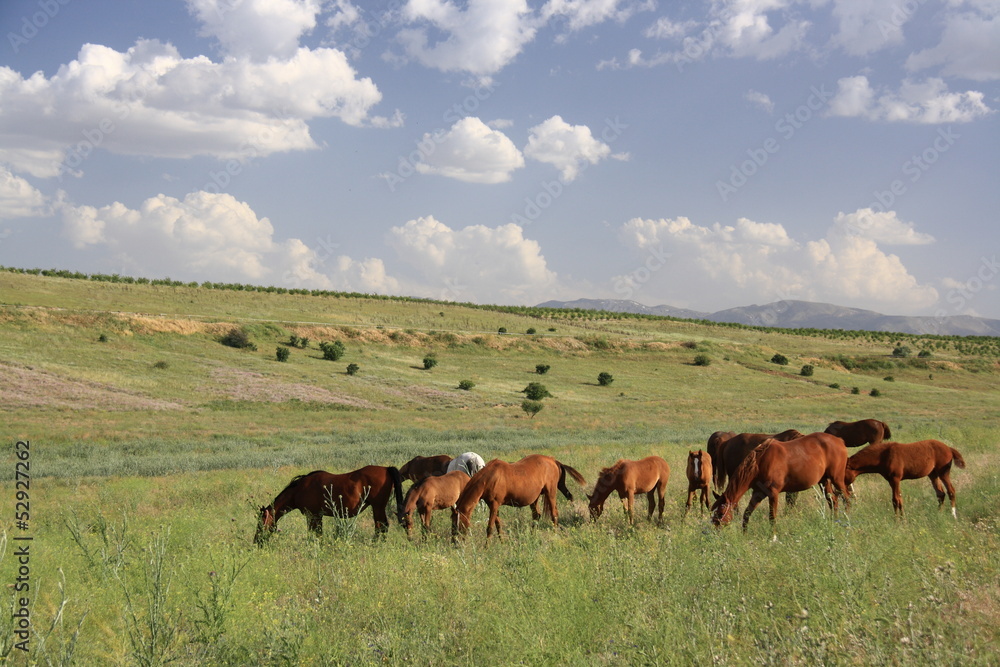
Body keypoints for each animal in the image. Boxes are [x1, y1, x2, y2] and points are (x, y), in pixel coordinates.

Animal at [256, 468, 404, 544]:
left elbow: (315, 533)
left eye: (261, 524)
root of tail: (386, 469)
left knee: (381, 527)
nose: (257, 542)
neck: (298, 489)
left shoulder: (313, 516)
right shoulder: (317, 516)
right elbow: (318, 533)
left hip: (377, 507)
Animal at [454, 454, 584, 544]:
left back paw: (554, 535)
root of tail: (553, 460)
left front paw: (487, 547)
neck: (489, 477)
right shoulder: (493, 506)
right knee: (536, 515)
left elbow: (490, 528)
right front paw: (502, 542)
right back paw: (532, 536)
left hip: (550, 493)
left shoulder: (494, 505)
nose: (454, 542)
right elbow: (498, 525)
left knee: (554, 515)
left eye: (456, 522)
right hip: (535, 499)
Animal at [712, 434, 852, 536]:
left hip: (837, 479)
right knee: (833, 500)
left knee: (846, 498)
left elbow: (772, 517)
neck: (760, 463)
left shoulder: (773, 494)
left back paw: (846, 520)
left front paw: (773, 537)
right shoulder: (758, 493)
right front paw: (744, 534)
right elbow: (747, 512)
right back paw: (834, 521)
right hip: (824, 481)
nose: (715, 531)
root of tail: (839, 440)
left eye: (721, 513)